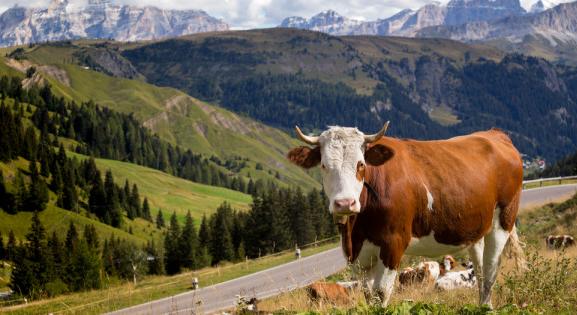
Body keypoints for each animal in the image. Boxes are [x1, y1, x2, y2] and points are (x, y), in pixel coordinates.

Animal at [288, 123, 528, 308]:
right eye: (324, 165)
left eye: (361, 164)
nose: (345, 203)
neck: (355, 229)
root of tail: (494, 133)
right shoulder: (357, 254)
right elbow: (368, 296)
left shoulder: (393, 244)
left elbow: (381, 294)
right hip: (475, 230)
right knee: (479, 271)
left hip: (503, 220)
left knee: (490, 270)